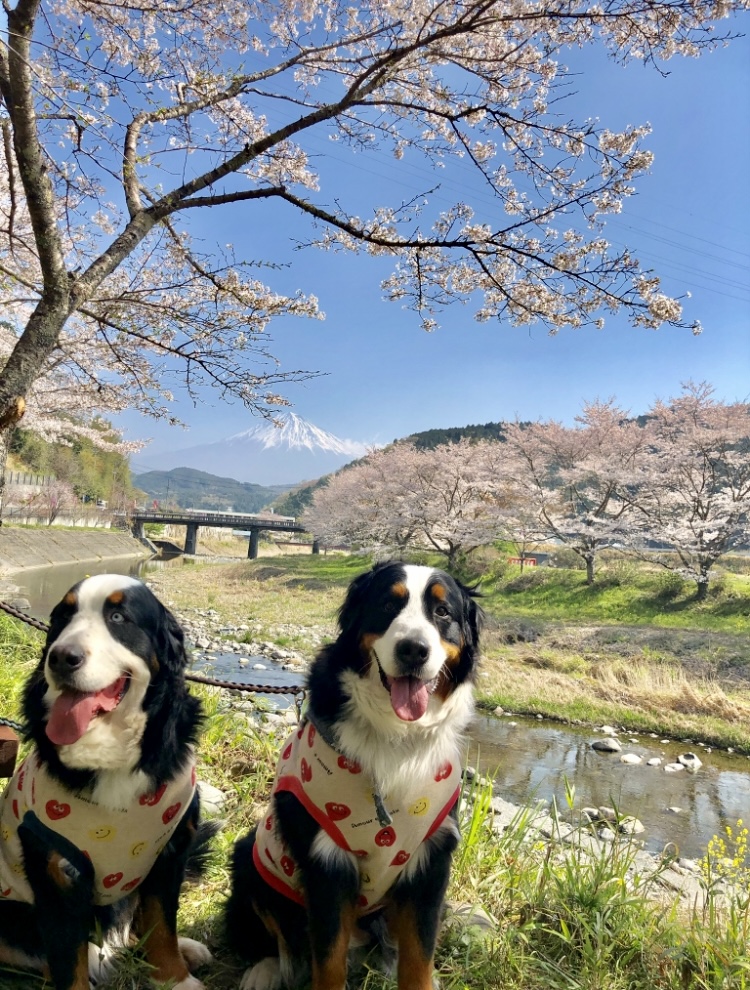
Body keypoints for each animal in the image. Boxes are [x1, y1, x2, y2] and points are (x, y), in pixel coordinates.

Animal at [0, 572, 212, 990]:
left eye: (117, 617)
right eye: (62, 617)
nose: (62, 657)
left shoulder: (170, 851)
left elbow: (162, 924)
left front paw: (176, 978)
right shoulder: (57, 871)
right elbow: (67, 959)